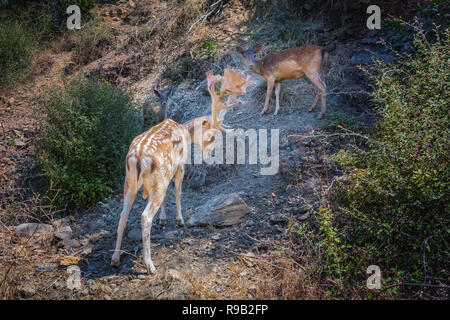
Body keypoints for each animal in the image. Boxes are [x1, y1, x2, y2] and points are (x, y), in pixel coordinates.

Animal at [110, 67, 251, 272]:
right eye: (212, 134)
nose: (211, 151)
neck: (185, 132)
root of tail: (136, 158)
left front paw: (163, 219)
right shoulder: (180, 164)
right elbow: (177, 191)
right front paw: (179, 220)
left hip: (129, 183)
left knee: (122, 215)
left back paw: (115, 258)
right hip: (155, 180)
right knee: (145, 217)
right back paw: (150, 265)